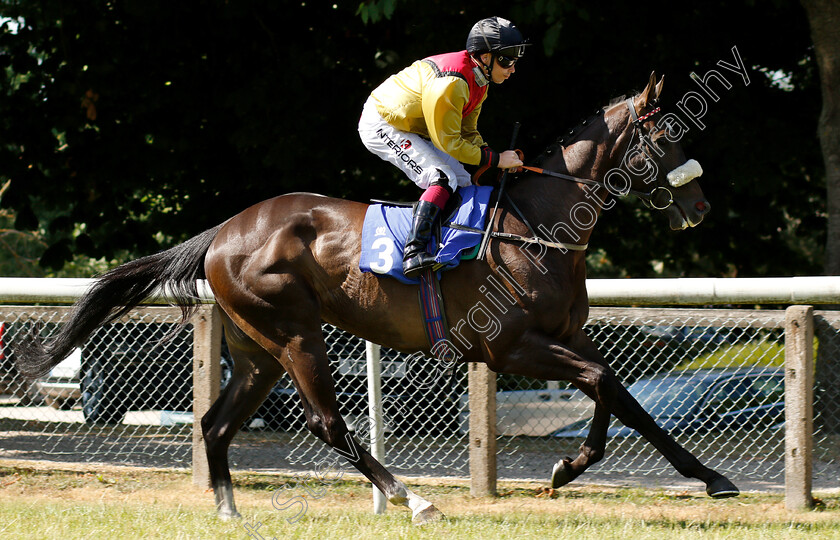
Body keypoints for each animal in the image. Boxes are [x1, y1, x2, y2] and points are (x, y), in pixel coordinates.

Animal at [18, 73, 736, 524]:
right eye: (667, 137)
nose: (701, 208)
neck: (535, 223)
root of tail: (224, 231)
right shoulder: (509, 348)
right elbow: (606, 384)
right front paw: (690, 475)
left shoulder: (567, 335)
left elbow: (618, 394)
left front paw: (577, 467)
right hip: (296, 336)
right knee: (325, 424)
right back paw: (414, 499)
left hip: (258, 351)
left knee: (215, 423)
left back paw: (229, 508)